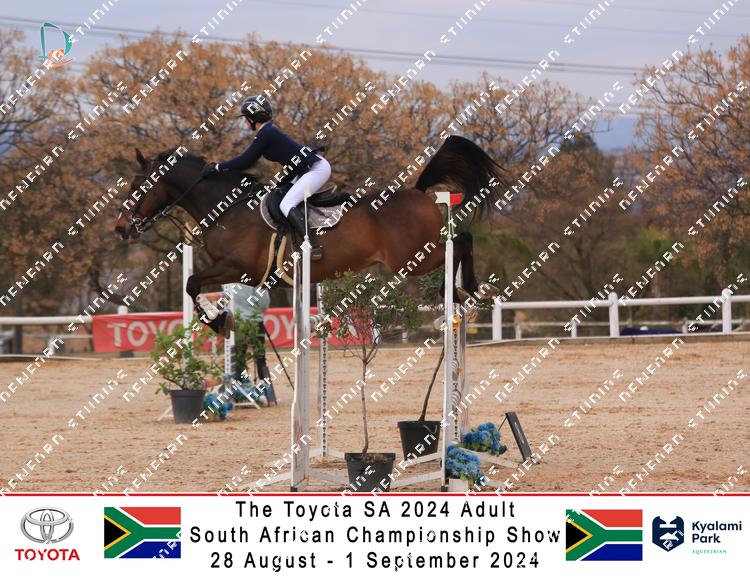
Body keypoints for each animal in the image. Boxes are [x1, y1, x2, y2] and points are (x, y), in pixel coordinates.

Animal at [114, 136, 509, 335]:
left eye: (137, 187)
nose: (120, 228)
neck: (228, 208)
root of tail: (419, 193)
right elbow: (194, 285)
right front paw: (218, 319)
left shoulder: (238, 269)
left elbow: (192, 284)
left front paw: (217, 322)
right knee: (462, 241)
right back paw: (464, 296)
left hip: (411, 259)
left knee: (460, 243)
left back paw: (463, 294)